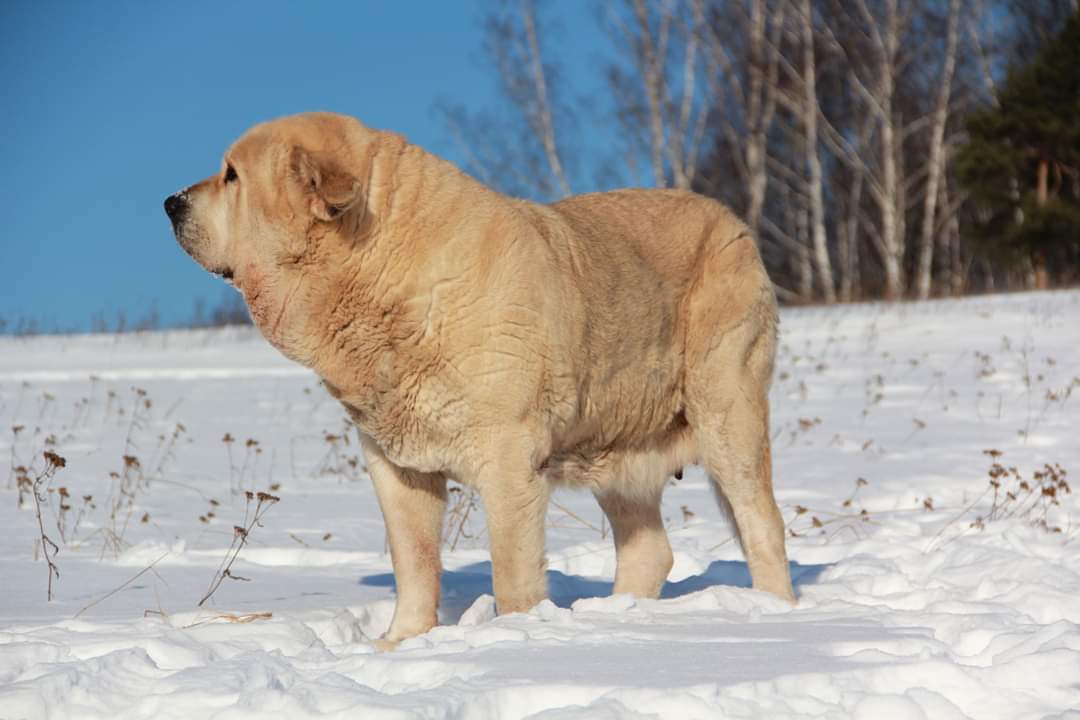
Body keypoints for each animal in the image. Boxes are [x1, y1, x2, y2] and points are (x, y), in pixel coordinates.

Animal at [164, 112, 799, 647]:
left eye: (232, 176)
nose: (170, 201)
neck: (384, 275)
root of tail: (734, 220)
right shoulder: (395, 465)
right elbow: (414, 562)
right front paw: (401, 643)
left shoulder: (509, 458)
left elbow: (511, 570)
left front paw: (513, 639)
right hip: (615, 443)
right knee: (651, 551)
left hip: (727, 415)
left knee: (762, 524)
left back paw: (772, 612)